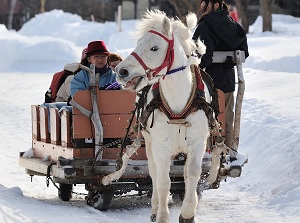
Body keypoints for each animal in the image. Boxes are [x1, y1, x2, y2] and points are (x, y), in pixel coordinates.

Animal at [116, 10, 212, 223]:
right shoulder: (161, 147)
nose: (121, 71)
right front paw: (162, 215)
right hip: (150, 142)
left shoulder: (198, 143)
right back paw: (154, 208)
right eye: (138, 43)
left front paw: (188, 212)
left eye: (154, 47)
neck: (178, 105)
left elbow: (193, 174)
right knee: (154, 173)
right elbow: (162, 181)